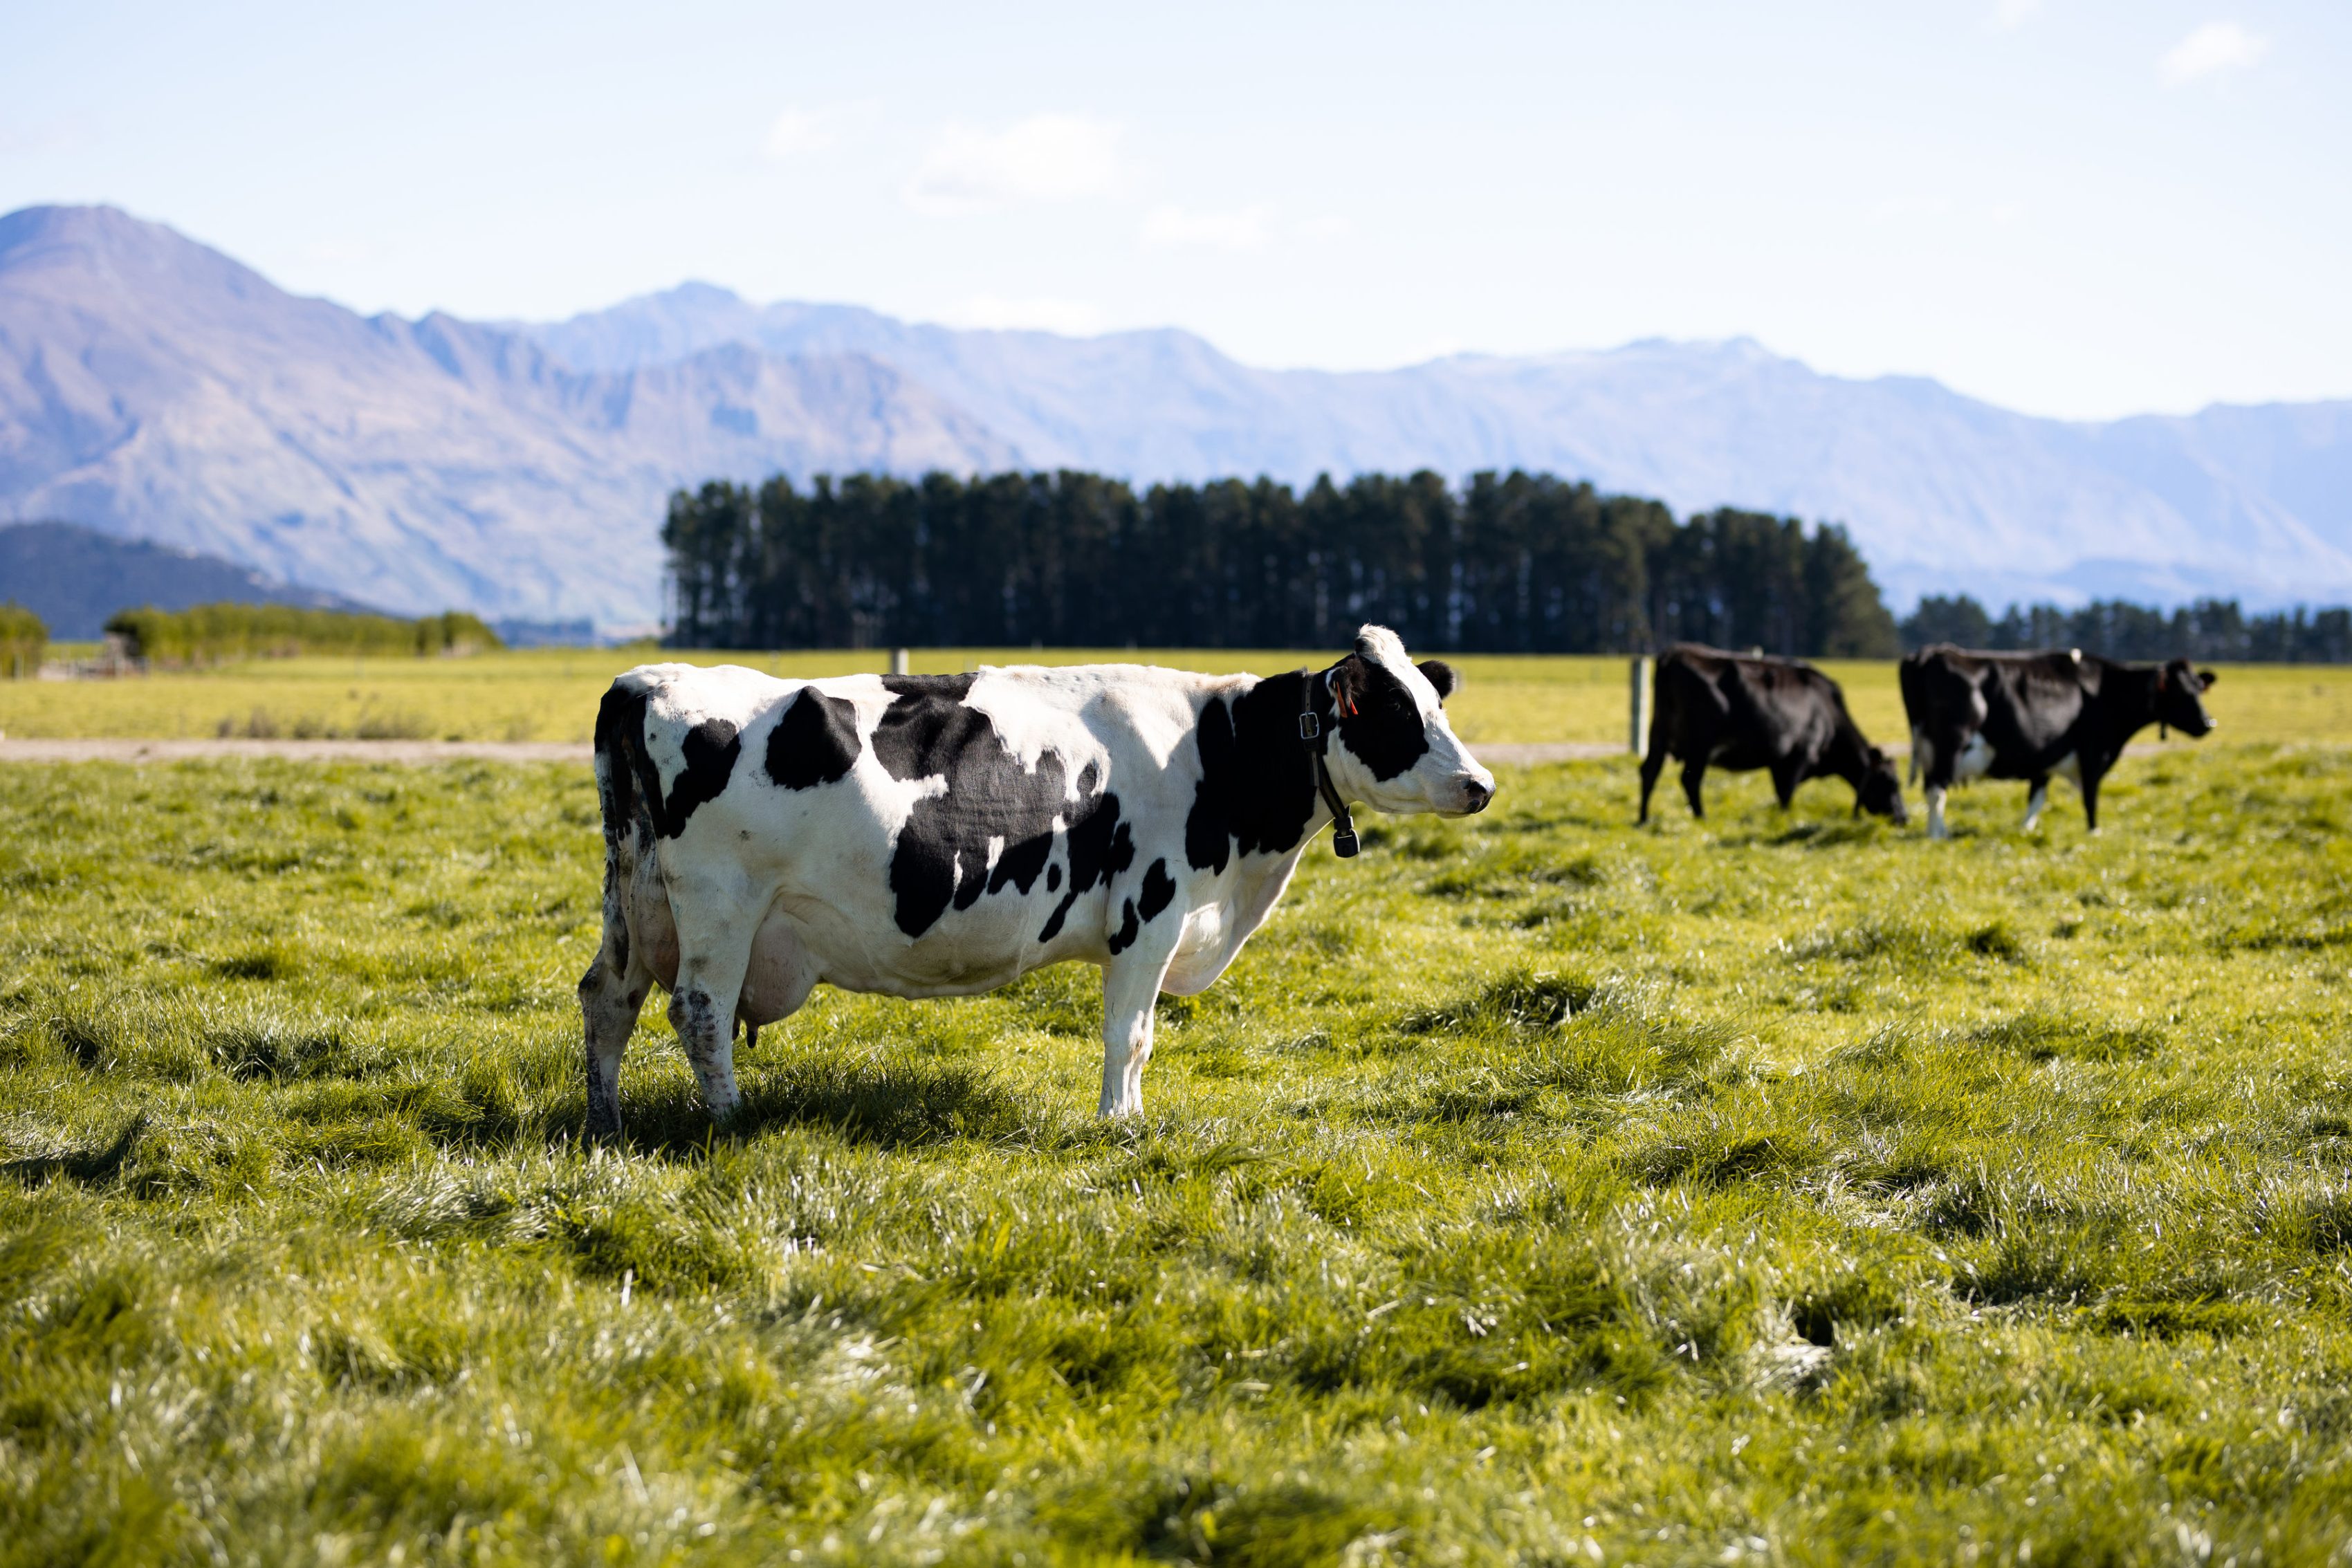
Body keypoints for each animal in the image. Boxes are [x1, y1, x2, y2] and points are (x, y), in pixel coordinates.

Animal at [573, 629, 1486, 1142]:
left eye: (1436, 701)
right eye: (1395, 713)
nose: (1479, 783)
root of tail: (645, 681)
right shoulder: (1150, 912)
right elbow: (1131, 1034)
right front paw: (1121, 1124)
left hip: (633, 899)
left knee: (607, 997)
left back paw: (604, 1124)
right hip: (721, 906)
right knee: (698, 1011)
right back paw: (730, 1121)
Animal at [1637, 644, 1909, 827]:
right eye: (1892, 783)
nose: (1904, 817)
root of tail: (1675, 652)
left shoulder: (1778, 762)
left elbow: (1781, 792)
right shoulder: (1800, 754)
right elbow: (1786, 794)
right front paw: (1784, 820)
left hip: (1658, 735)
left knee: (1649, 772)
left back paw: (1643, 819)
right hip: (1700, 744)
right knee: (1690, 780)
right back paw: (1701, 817)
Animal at [1891, 639, 2220, 832]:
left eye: (2198, 688)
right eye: (2181, 693)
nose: (2208, 722)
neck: (2107, 690)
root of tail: (1933, 652)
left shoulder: (2044, 758)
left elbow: (2036, 799)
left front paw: (2025, 831)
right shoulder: (2093, 753)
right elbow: (2090, 799)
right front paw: (2094, 833)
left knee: (1933, 788)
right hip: (1951, 742)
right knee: (1937, 788)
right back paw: (1939, 835)